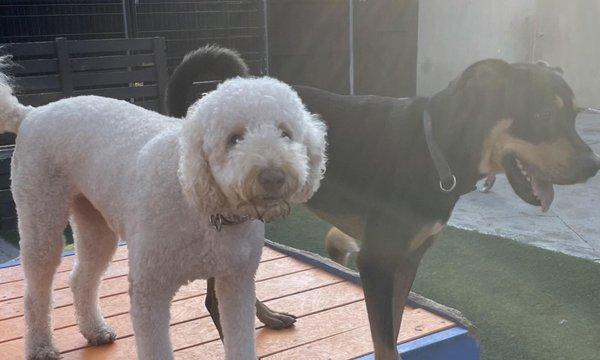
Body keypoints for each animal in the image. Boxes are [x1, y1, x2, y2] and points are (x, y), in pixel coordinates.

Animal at [0, 54, 326, 360]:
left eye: (285, 133)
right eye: (234, 139)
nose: (273, 177)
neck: (206, 211)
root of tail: (32, 113)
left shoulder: (236, 283)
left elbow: (240, 340)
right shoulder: (150, 290)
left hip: (95, 224)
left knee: (81, 278)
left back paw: (95, 330)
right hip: (40, 215)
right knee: (36, 291)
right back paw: (41, 346)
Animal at [166, 46, 600, 358]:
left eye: (577, 115)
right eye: (542, 115)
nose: (593, 165)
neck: (435, 148)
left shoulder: (407, 261)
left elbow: (393, 328)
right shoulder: (374, 263)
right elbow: (385, 342)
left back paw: (269, 317)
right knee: (213, 300)